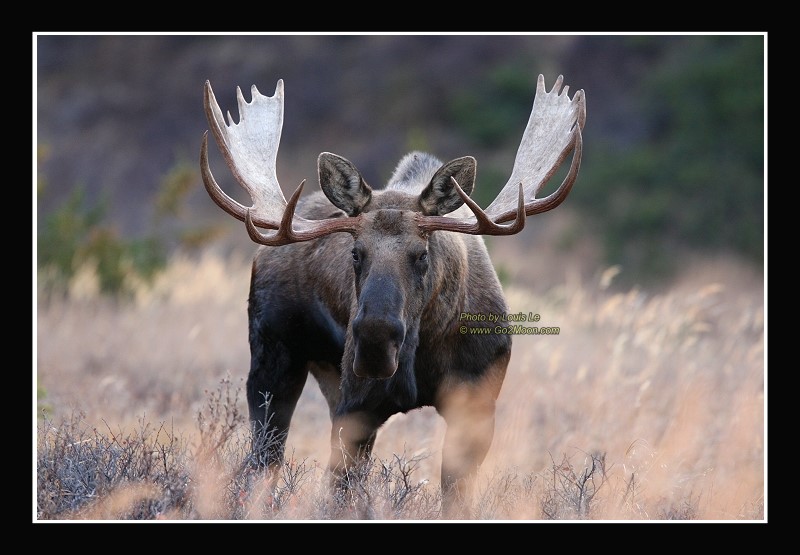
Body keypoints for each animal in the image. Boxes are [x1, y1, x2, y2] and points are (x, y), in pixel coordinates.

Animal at [199, 73, 586, 518]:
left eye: (422, 254)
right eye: (355, 252)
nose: (374, 340)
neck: (426, 344)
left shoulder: (476, 403)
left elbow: (454, 495)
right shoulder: (358, 406)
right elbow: (340, 491)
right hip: (273, 360)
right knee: (264, 460)